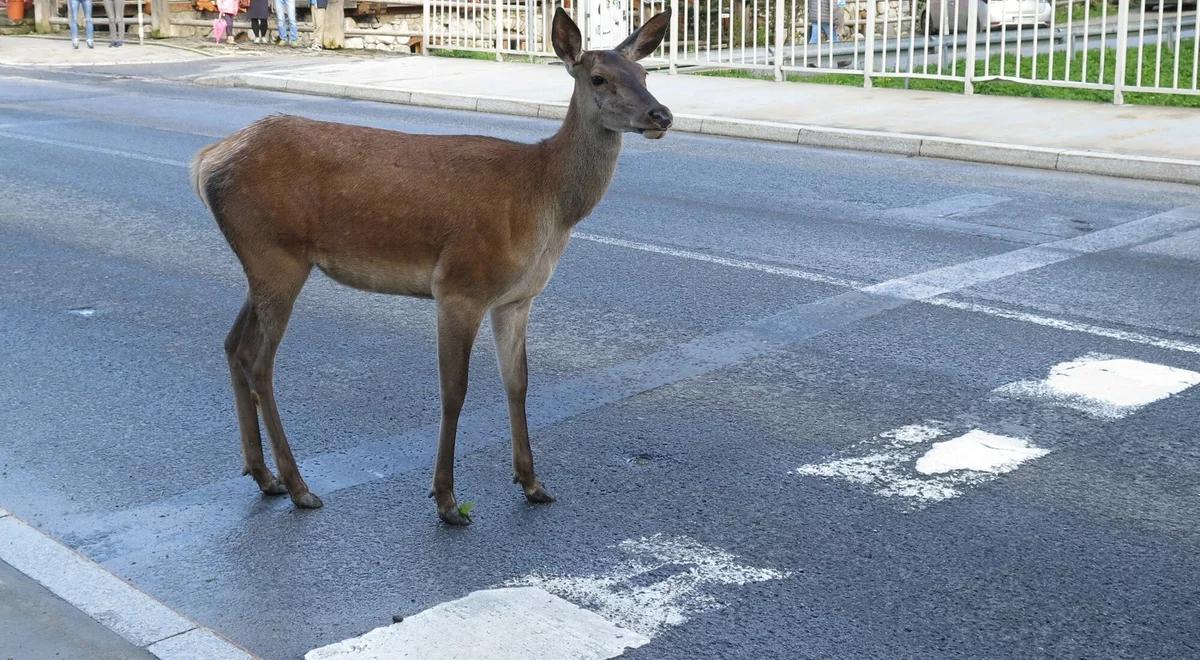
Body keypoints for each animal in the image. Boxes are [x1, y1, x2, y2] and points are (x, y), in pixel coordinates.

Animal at [188, 7, 676, 528]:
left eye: (645, 73)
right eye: (599, 78)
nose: (661, 115)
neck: (543, 200)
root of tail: (205, 162)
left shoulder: (517, 298)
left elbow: (518, 383)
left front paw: (532, 483)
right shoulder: (459, 285)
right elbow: (454, 390)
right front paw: (446, 500)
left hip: (264, 263)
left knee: (234, 345)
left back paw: (264, 476)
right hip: (276, 256)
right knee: (261, 362)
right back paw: (300, 487)